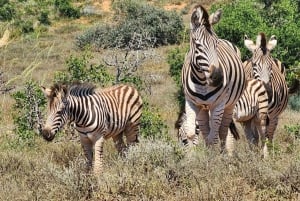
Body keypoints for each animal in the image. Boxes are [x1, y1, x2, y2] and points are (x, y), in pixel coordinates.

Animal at [180, 4, 246, 152]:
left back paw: (225, 153)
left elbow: (214, 137)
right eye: (198, 45)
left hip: (229, 105)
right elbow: (192, 134)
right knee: (207, 132)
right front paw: (192, 156)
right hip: (203, 109)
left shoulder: (219, 105)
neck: (201, 81)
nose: (218, 77)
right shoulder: (191, 103)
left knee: (223, 132)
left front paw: (215, 158)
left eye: (215, 44)